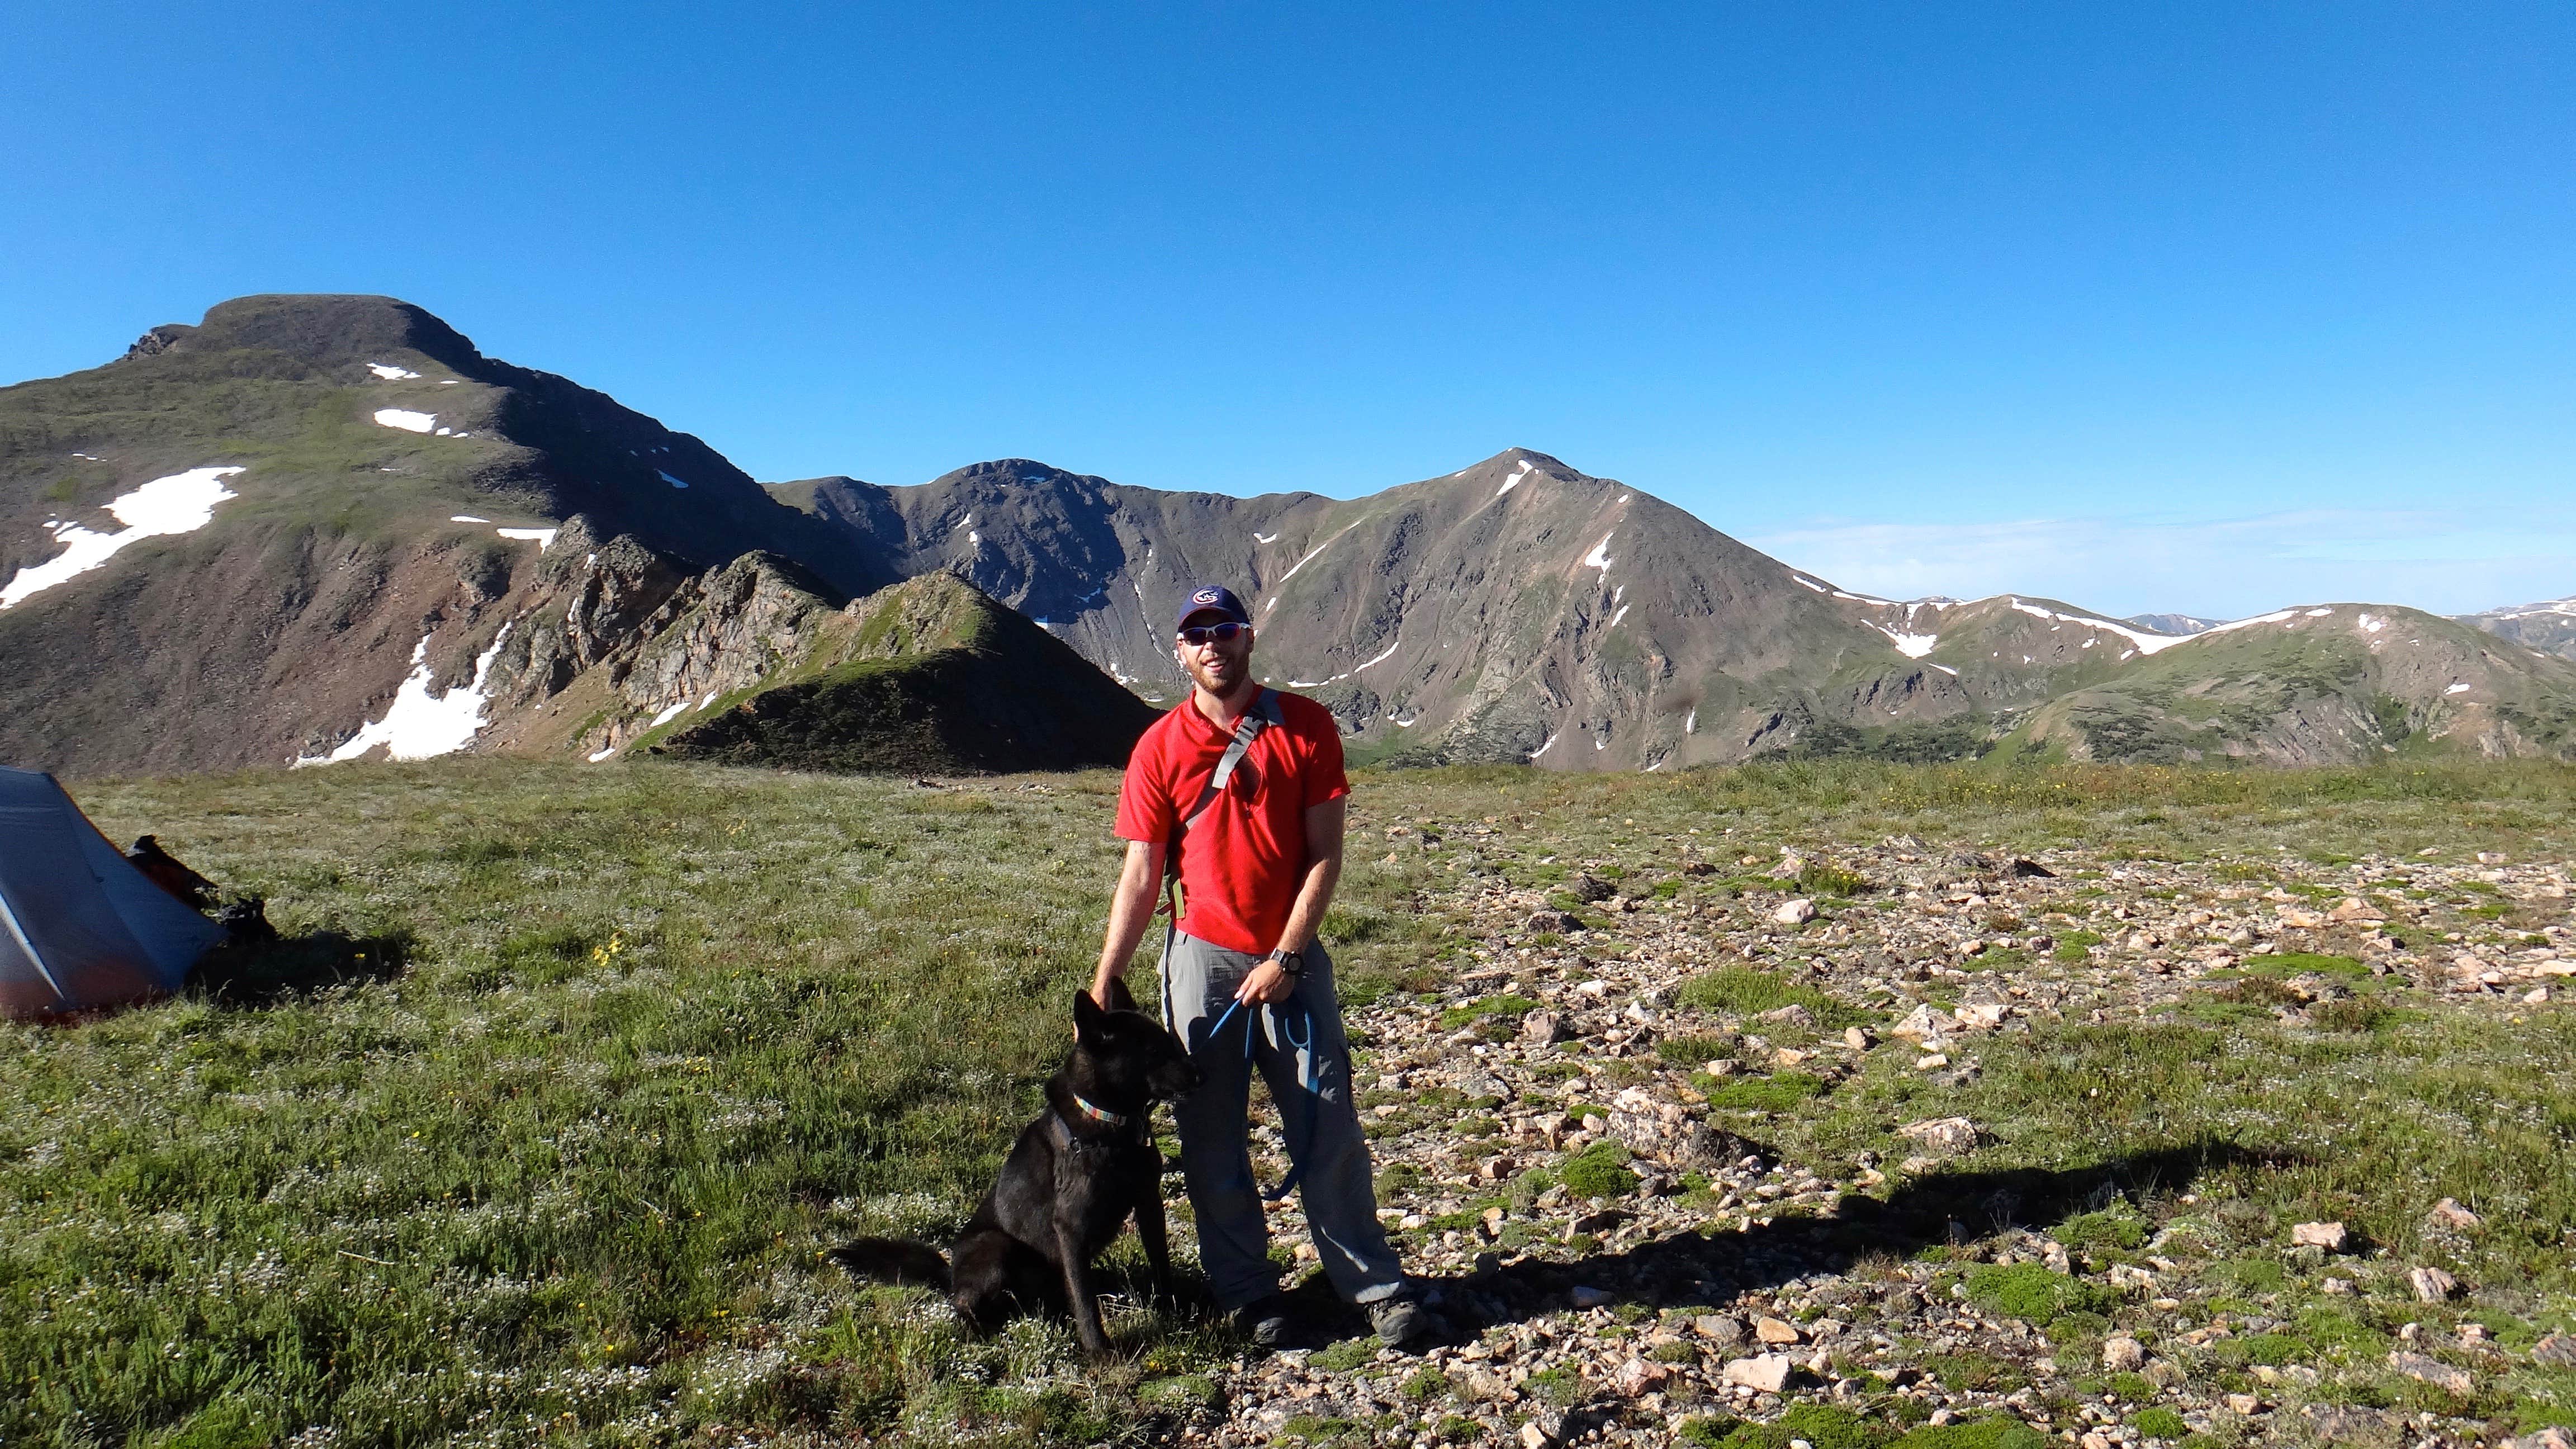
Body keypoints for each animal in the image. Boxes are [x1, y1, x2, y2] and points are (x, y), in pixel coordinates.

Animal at [840, 974, 1210, 1361]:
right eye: (1153, 1052)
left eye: (1170, 1042)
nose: (1203, 1075)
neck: (1110, 1123)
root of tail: (951, 1275)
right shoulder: (1071, 1228)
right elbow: (1085, 1300)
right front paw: (1099, 1352)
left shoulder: (1149, 1202)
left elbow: (1159, 1263)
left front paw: (1172, 1311)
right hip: (995, 1247)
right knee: (966, 1305)